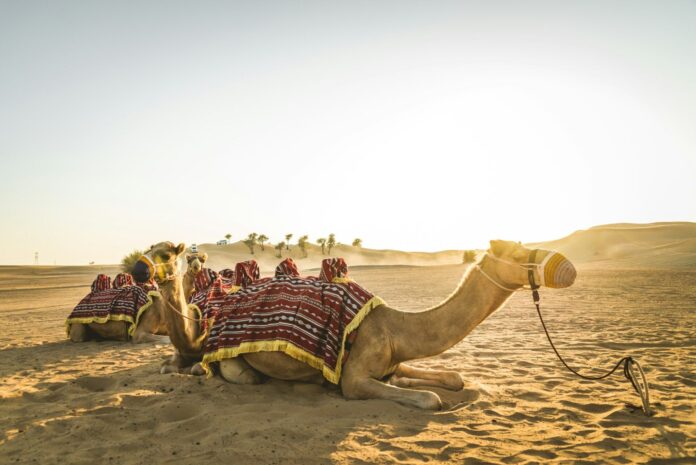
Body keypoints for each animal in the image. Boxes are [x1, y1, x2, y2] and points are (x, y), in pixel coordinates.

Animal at [148, 241, 576, 408]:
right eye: (519, 252)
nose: (566, 265)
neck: (394, 327)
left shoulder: (392, 363)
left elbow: (452, 379)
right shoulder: (354, 380)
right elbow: (430, 398)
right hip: (230, 359)